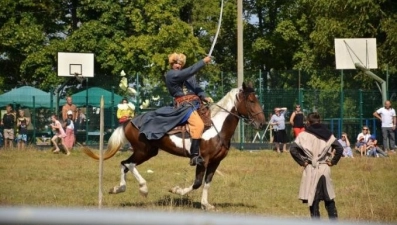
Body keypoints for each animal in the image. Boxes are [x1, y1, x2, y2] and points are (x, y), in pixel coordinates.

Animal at [82, 81, 264, 210]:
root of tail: (129, 121)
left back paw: (118, 188)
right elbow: (197, 183)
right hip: (143, 151)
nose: (262, 123)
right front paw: (176, 190)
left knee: (124, 164)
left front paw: (206, 204)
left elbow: (207, 183)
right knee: (128, 164)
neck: (217, 127)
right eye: (251, 100)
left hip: (148, 152)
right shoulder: (202, 160)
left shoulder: (215, 162)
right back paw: (143, 188)